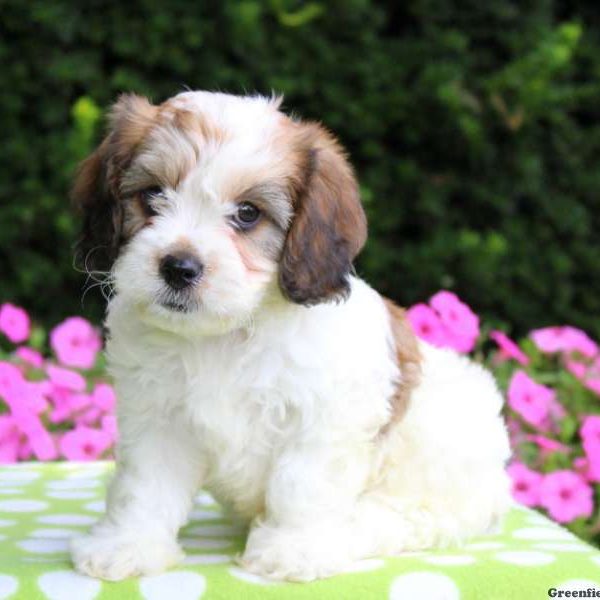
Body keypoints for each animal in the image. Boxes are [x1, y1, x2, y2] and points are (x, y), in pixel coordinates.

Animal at [70, 91, 510, 584]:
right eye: (152, 195)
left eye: (247, 214)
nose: (178, 267)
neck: (227, 334)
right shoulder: (156, 416)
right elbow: (144, 486)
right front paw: (128, 545)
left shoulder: (324, 420)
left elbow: (302, 485)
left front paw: (293, 549)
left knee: (414, 517)